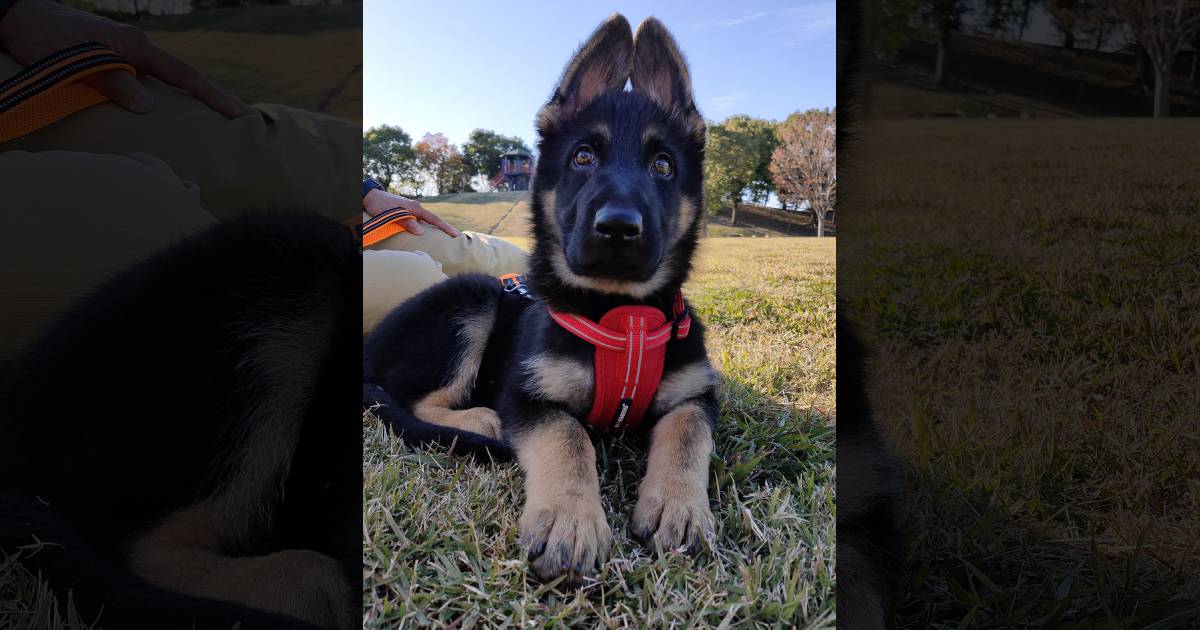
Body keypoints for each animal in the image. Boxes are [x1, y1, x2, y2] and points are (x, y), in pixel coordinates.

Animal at [364, 14, 715, 585]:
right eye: (583, 158)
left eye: (663, 166)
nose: (618, 229)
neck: (621, 318)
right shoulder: (528, 395)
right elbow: (567, 437)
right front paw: (571, 521)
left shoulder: (695, 395)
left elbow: (687, 436)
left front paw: (678, 507)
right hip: (473, 298)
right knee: (416, 401)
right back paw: (482, 420)